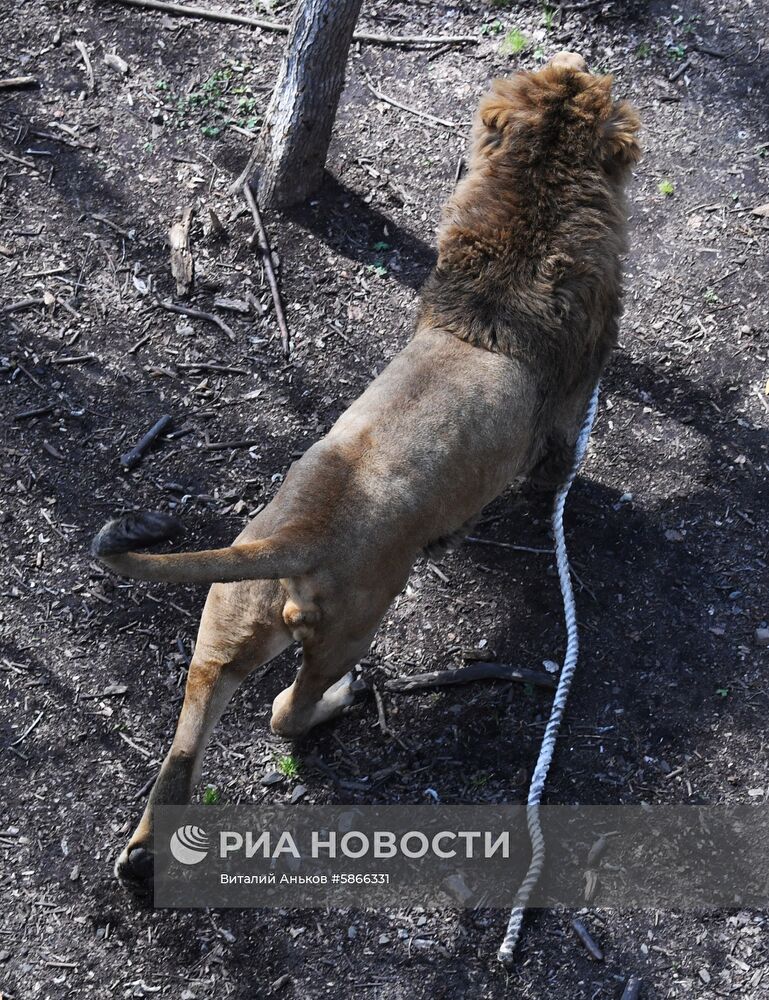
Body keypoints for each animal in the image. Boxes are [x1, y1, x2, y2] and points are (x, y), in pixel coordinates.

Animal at [93, 50, 640, 888]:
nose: (575, 58)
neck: (535, 200)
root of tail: (295, 535)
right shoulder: (572, 395)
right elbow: (560, 465)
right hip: (351, 625)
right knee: (287, 712)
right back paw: (340, 702)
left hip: (221, 635)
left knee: (184, 750)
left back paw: (142, 854)